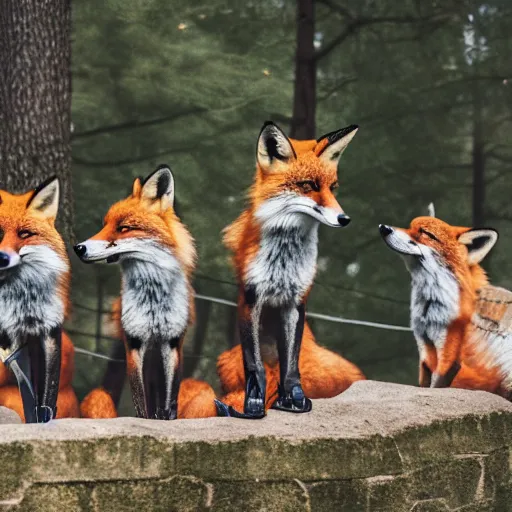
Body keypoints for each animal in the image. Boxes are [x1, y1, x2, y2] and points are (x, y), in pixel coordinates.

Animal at [74, 165, 196, 420]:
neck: (153, 299)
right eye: (105, 224)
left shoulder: (173, 343)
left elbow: (170, 397)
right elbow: (141, 403)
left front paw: (167, 418)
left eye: (123, 228)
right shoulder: (134, 343)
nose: (78, 248)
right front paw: (146, 421)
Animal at [216, 121, 360, 420]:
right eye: (308, 186)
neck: (284, 259)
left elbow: (291, 366)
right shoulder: (251, 298)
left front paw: (293, 399)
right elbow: (255, 365)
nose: (345, 219)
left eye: (333, 188)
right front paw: (254, 405)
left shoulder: (296, 301)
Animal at [376, 212, 512, 392]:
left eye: (426, 233)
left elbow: (437, 386)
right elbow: (424, 385)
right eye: (410, 227)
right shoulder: (424, 349)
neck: (429, 311)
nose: (383, 227)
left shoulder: (449, 355)